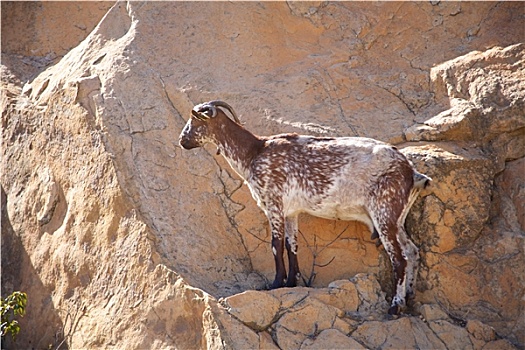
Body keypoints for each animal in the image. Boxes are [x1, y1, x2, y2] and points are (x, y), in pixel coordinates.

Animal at [180, 99, 430, 314]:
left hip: (384, 212)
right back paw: (409, 298)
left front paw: (276, 283)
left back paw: (395, 307)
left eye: (193, 121)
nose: (182, 141)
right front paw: (292, 282)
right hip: (397, 218)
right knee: (412, 251)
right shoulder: (291, 212)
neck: (254, 152)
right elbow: (292, 245)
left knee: (399, 259)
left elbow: (276, 245)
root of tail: (410, 172)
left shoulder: (274, 203)